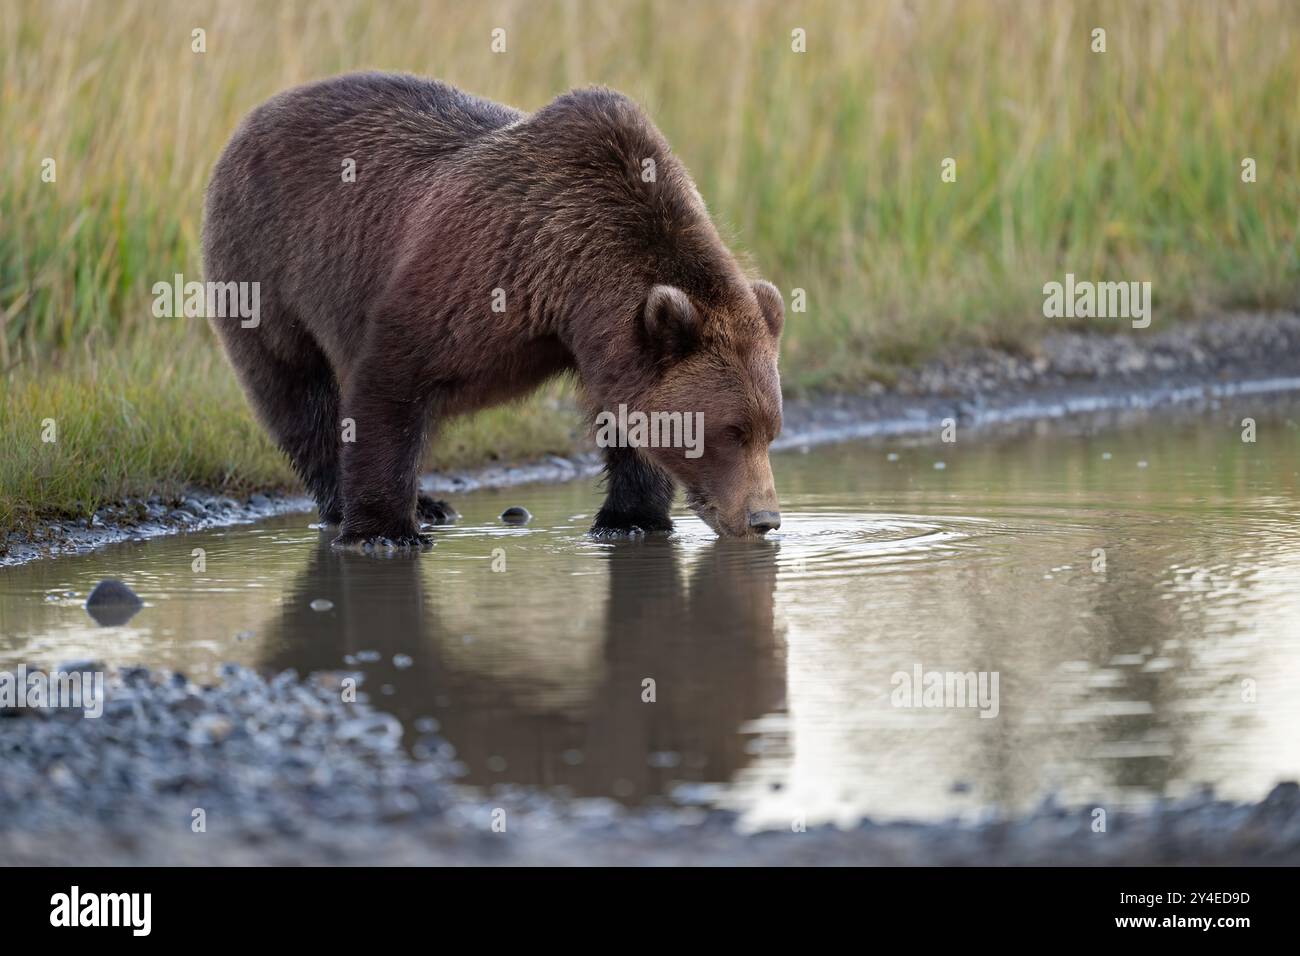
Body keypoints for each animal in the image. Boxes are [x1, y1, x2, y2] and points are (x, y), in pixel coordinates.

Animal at [202, 71, 780, 548]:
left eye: (769, 429)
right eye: (730, 431)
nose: (765, 520)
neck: (570, 286)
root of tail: (256, 115)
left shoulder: (605, 337)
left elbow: (627, 415)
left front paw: (632, 518)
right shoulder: (477, 272)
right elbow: (391, 382)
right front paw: (383, 531)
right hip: (265, 264)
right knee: (297, 389)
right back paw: (370, 503)